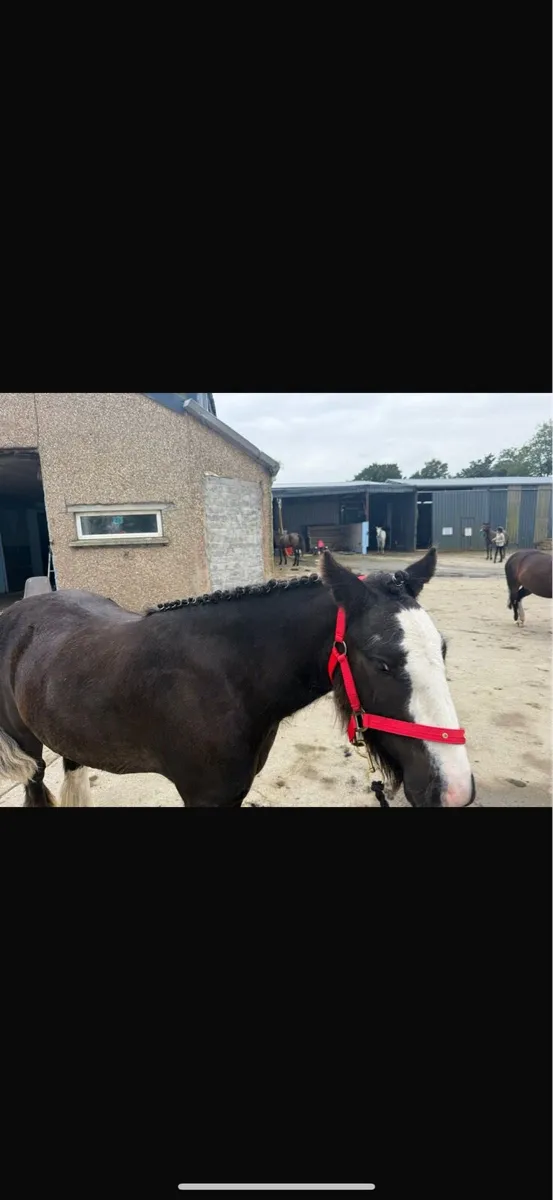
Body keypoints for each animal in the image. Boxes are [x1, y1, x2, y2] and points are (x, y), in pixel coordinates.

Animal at [0, 549, 475, 808]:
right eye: (381, 662)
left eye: (443, 651)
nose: (453, 789)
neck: (229, 680)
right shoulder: (204, 796)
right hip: (29, 751)